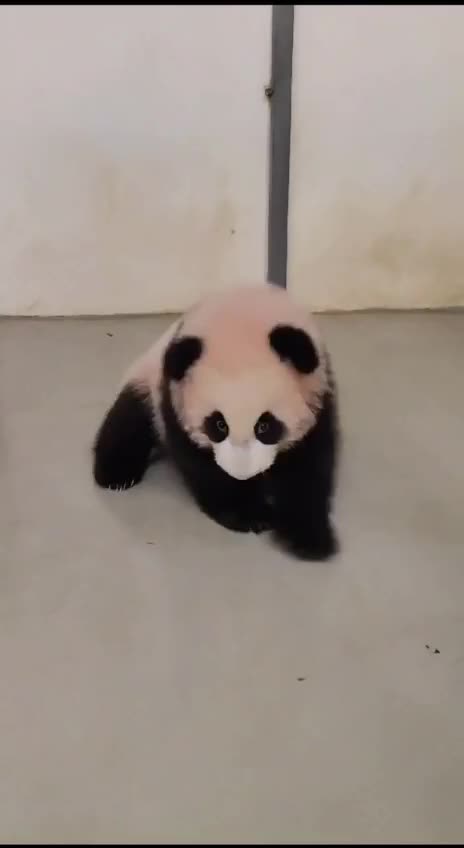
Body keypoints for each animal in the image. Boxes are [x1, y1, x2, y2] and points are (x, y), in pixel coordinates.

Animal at [93, 284, 339, 561]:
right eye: (219, 424)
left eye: (265, 426)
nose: (242, 473)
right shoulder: (173, 395)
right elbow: (202, 465)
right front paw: (249, 514)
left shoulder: (319, 396)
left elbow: (307, 468)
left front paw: (310, 538)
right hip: (145, 380)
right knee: (128, 425)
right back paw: (115, 476)